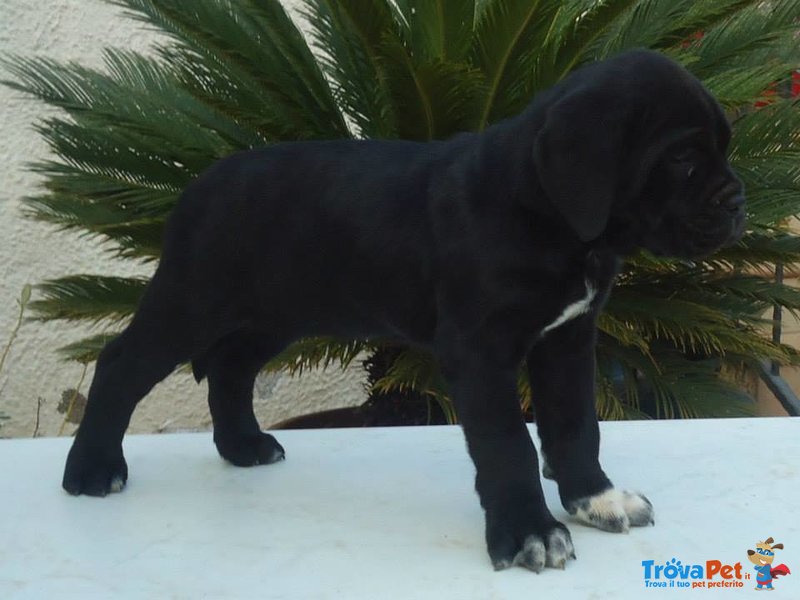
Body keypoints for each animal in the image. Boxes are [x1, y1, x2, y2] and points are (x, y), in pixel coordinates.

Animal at [61, 50, 744, 572]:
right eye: (683, 158)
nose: (738, 201)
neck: (545, 213)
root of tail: (198, 185)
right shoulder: (478, 351)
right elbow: (508, 444)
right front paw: (527, 530)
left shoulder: (569, 339)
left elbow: (576, 424)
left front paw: (594, 499)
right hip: (192, 301)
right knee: (121, 364)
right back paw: (93, 469)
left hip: (274, 313)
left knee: (231, 369)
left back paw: (243, 446)